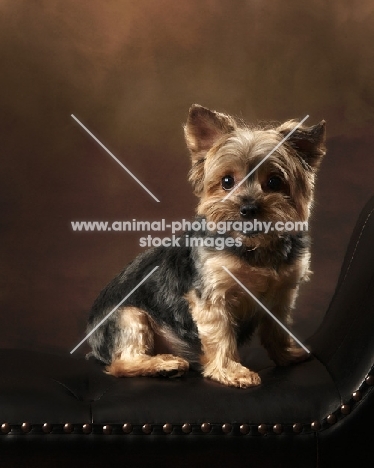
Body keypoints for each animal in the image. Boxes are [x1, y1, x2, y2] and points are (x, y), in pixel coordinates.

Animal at [87, 105, 324, 388]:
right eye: (227, 181)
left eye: (274, 182)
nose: (248, 208)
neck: (253, 246)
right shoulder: (212, 296)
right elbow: (220, 335)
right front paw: (230, 371)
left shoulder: (282, 294)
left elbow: (277, 328)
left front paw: (287, 355)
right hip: (129, 317)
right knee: (121, 362)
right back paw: (165, 364)